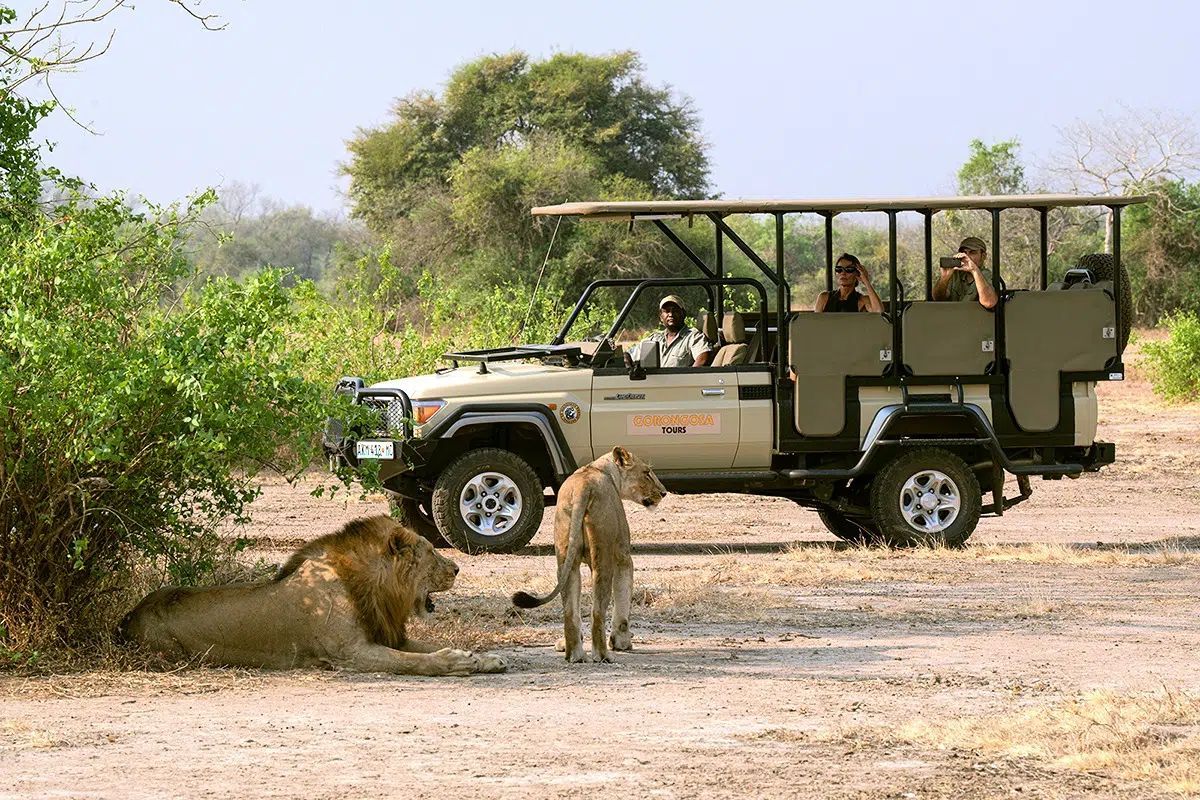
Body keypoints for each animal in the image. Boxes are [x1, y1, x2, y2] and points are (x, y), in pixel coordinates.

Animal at [120, 515, 506, 676]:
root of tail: (129, 616)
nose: (457, 569)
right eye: (430, 551)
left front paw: (486, 658)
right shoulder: (349, 653)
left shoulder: (385, 634)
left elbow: (429, 646)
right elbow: (416, 661)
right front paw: (457, 663)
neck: (373, 587)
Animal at [511, 446, 667, 663]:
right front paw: (622, 641)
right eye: (646, 472)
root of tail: (581, 488)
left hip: (565, 559)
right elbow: (623, 600)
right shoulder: (623, 556)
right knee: (597, 611)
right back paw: (603, 655)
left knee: (570, 612)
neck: (601, 469)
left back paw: (575, 655)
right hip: (603, 557)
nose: (663, 492)